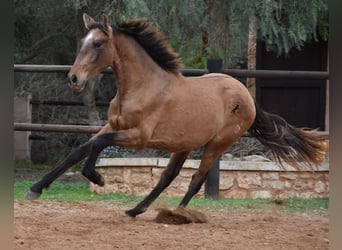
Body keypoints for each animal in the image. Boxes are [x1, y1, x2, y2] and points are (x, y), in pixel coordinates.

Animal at [26, 13, 326, 217]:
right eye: (83, 42)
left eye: (98, 43)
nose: (74, 79)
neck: (141, 87)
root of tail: (246, 95)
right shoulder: (112, 125)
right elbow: (80, 150)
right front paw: (36, 188)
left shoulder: (139, 137)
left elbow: (97, 145)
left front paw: (97, 177)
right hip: (184, 144)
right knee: (168, 176)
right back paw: (135, 210)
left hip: (217, 144)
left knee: (196, 179)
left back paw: (177, 214)